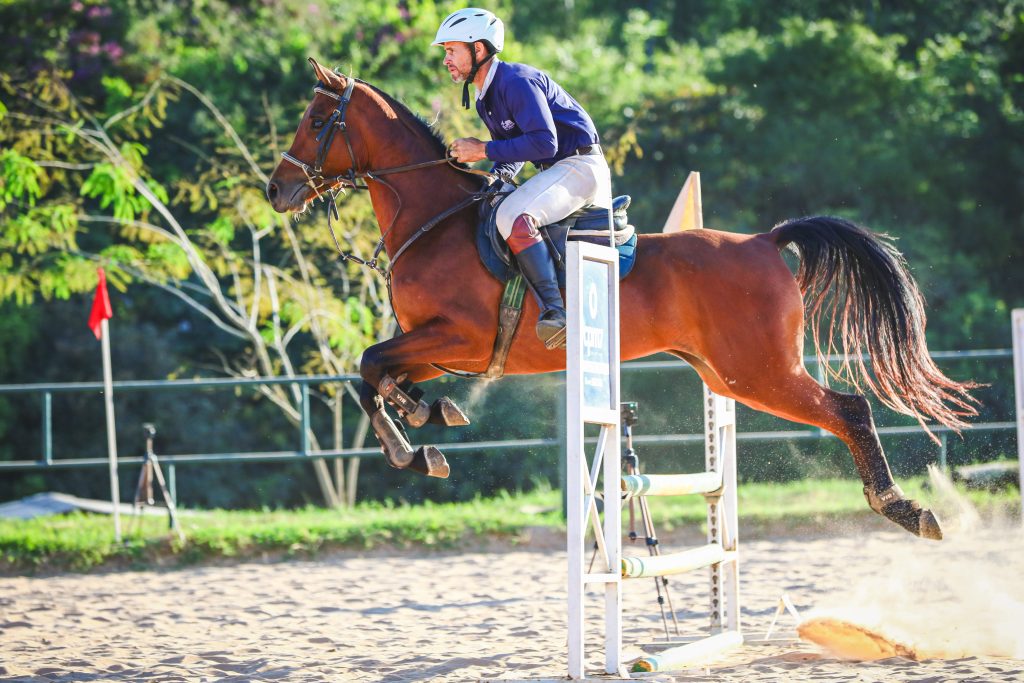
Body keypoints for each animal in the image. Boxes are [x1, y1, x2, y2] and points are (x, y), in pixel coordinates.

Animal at [266, 60, 974, 540]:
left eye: (314, 122)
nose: (276, 191)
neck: (434, 219)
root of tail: (766, 241)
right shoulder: (437, 348)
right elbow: (378, 374)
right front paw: (427, 418)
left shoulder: (458, 338)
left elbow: (368, 367)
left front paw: (413, 445)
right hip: (729, 375)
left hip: (759, 372)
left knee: (850, 409)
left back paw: (905, 509)